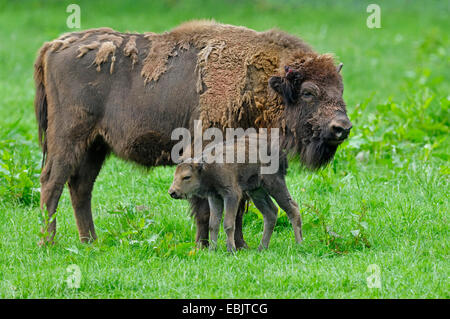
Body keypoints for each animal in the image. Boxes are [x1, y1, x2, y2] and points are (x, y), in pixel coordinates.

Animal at [168, 135, 302, 252]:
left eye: (186, 176)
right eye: (175, 175)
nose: (172, 192)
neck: (207, 168)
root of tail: (281, 153)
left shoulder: (231, 195)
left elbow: (228, 223)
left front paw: (231, 250)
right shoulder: (214, 197)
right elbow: (213, 224)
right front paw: (212, 250)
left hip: (274, 184)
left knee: (292, 208)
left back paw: (299, 244)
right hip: (256, 192)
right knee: (271, 213)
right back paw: (261, 248)